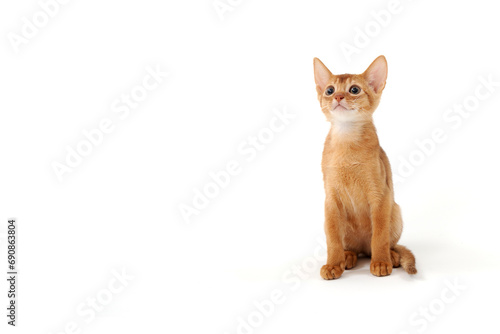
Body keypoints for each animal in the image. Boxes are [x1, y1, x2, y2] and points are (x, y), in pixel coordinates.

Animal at [312, 56, 418, 278]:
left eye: (354, 90)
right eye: (330, 90)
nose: (338, 97)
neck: (347, 141)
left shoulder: (379, 195)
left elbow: (379, 236)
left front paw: (381, 263)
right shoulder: (330, 200)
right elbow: (332, 240)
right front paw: (333, 264)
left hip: (395, 210)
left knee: (384, 245)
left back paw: (391, 256)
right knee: (352, 249)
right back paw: (347, 257)